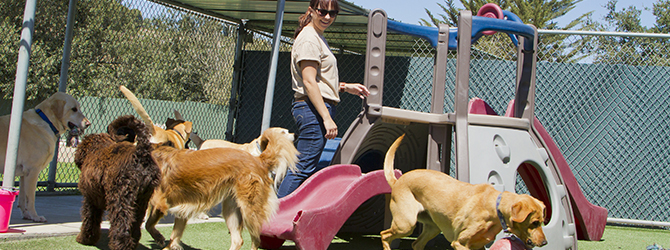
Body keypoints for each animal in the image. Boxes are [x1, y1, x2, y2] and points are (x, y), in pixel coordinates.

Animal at [0, 93, 90, 222]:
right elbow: (31, 199)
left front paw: (27, 215)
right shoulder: (32, 171)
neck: (47, 121)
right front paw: (35, 216)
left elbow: (22, 199)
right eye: (74, 109)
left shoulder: (24, 174)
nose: (88, 124)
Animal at [74, 115, 161, 250]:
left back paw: (120, 245)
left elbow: (89, 219)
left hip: (120, 198)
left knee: (121, 226)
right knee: (135, 226)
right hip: (141, 200)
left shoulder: (90, 198)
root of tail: (141, 153)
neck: (97, 148)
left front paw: (85, 239)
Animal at [146, 131, 298, 250]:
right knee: (238, 240)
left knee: (255, 240)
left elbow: (149, 224)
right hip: (231, 210)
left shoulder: (160, 202)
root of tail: (258, 160)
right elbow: (171, 235)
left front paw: (159, 238)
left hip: (249, 210)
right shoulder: (181, 210)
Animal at [380, 135, 548, 250]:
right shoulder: (460, 243)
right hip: (406, 224)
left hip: (432, 227)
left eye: (542, 222)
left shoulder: (479, 246)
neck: (494, 207)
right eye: (534, 222)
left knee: (416, 244)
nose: (545, 242)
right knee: (384, 235)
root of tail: (397, 181)